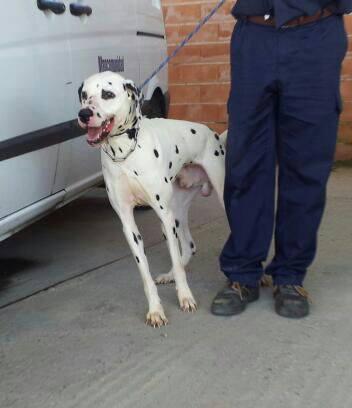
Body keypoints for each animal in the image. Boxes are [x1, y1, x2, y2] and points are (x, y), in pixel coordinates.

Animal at [77, 71, 227, 326]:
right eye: (85, 95)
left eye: (107, 94)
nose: (84, 114)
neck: (125, 153)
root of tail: (213, 133)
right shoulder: (129, 225)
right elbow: (145, 275)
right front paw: (155, 309)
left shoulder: (163, 215)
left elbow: (176, 263)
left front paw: (185, 297)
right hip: (176, 213)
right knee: (188, 246)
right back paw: (169, 275)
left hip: (205, 204)